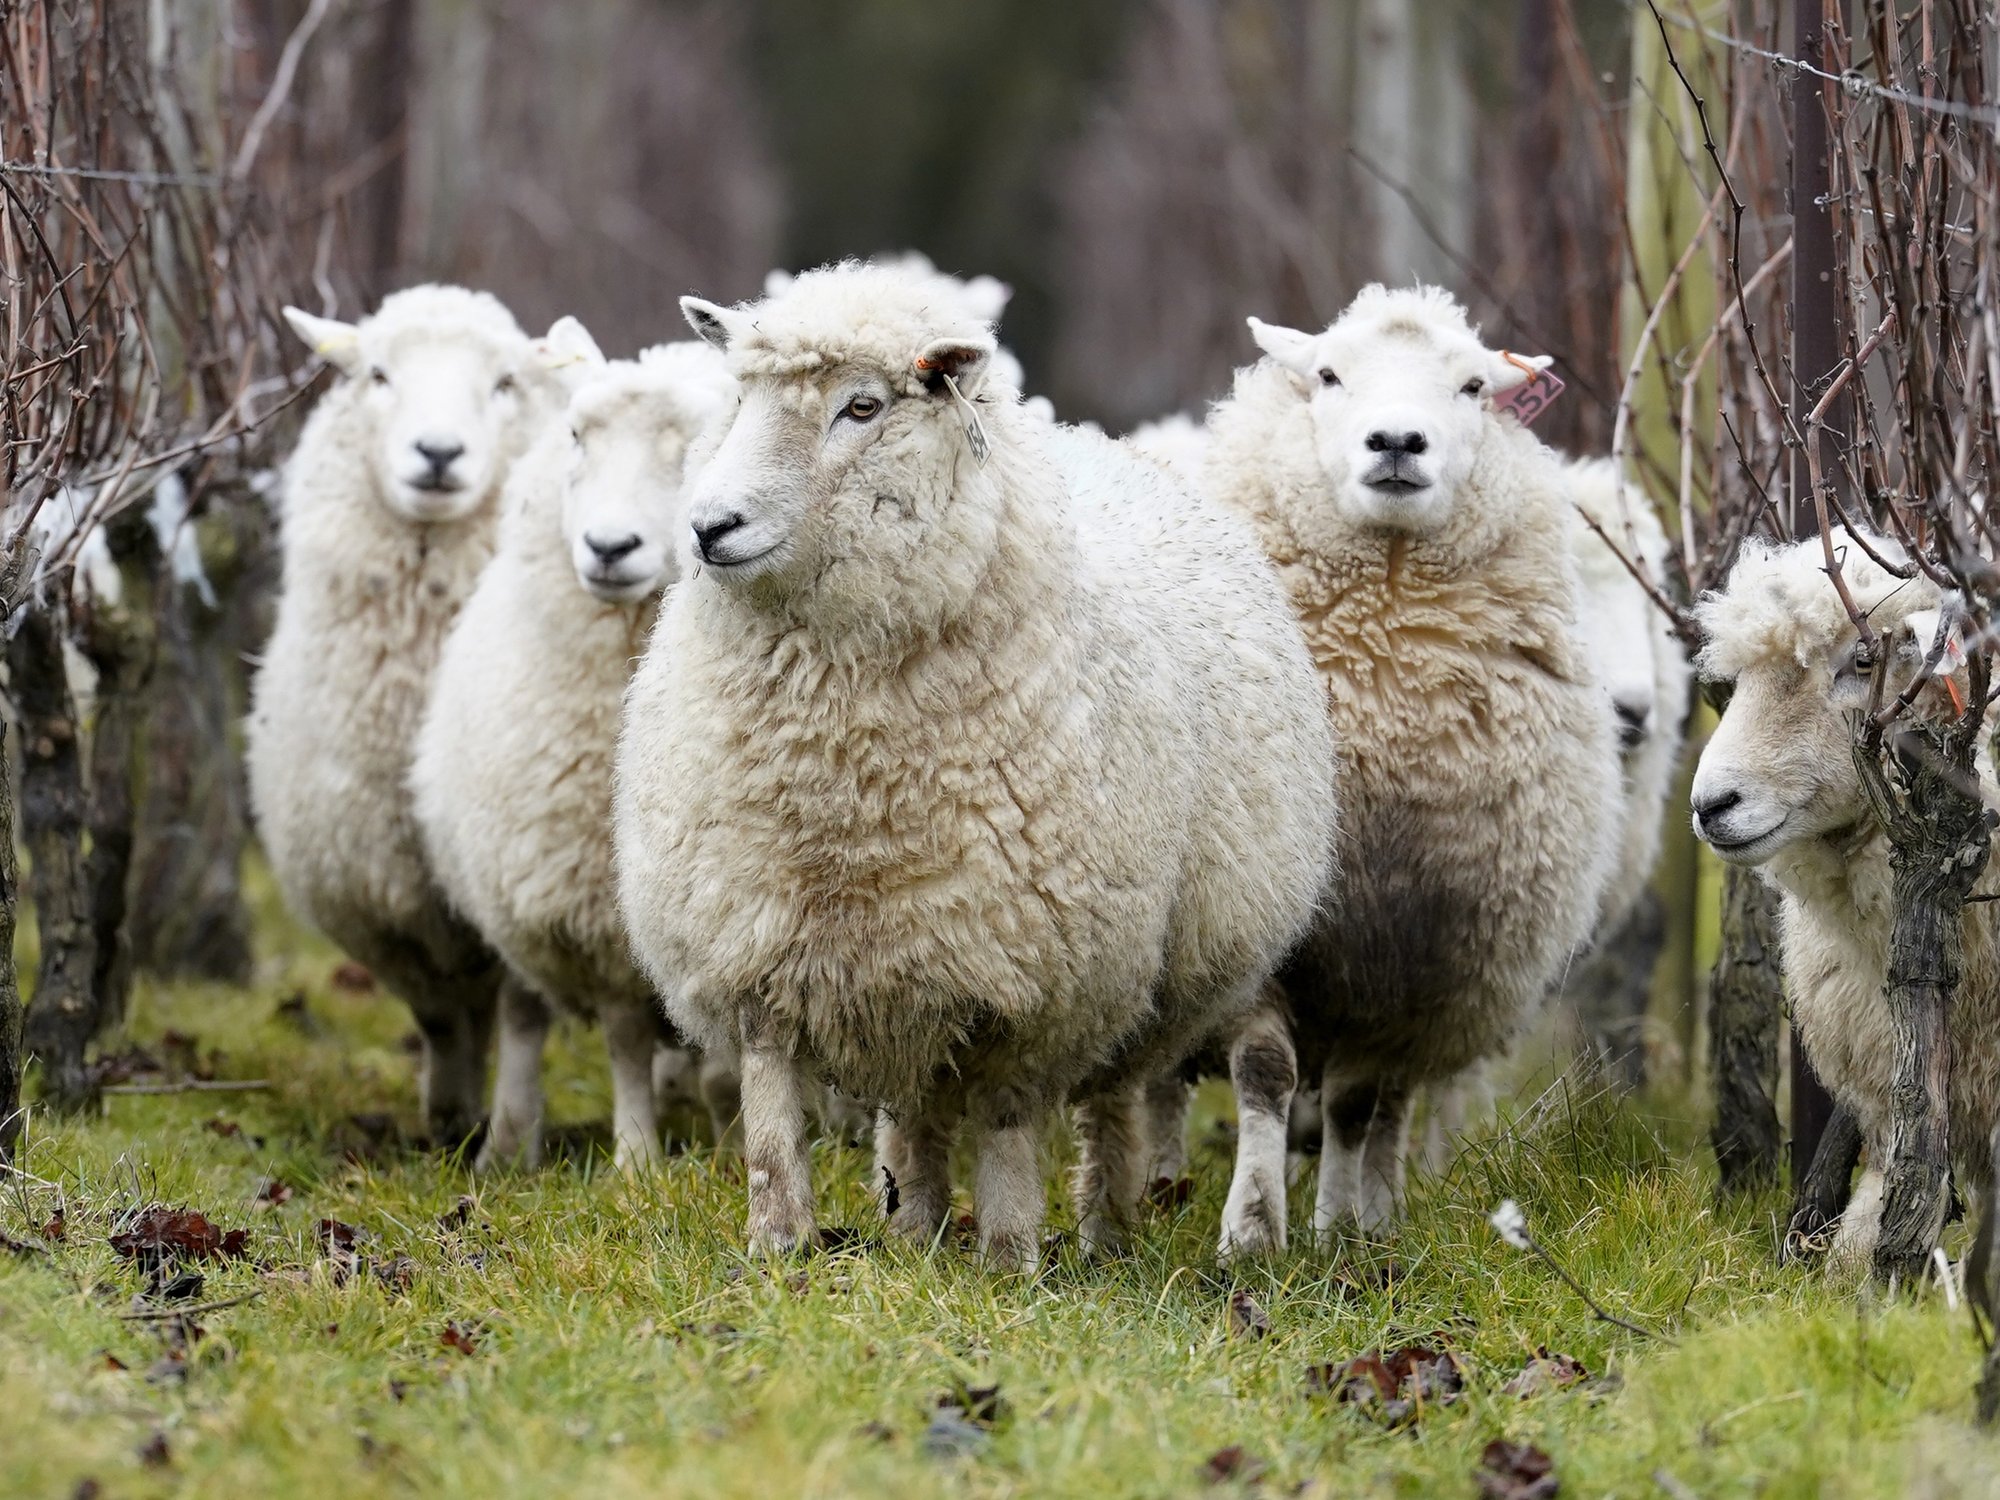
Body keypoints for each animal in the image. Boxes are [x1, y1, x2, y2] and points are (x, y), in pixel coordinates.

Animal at [247, 285, 580, 1142]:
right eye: (378, 375)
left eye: (504, 383)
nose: (437, 453)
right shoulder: (382, 892)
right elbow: (436, 1017)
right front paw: (448, 1119)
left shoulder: (515, 870)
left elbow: (524, 1010)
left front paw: (512, 1137)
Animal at [411, 335, 739, 1171]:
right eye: (576, 437)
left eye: (692, 444)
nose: (609, 547)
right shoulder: (592, 906)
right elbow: (624, 1036)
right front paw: (637, 1161)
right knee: (524, 1012)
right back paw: (508, 1143)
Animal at [613, 261, 1339, 1267]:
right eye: (741, 398)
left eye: (864, 406)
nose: (710, 527)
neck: (845, 777)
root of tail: (1100, 446)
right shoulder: (756, 936)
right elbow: (769, 1113)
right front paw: (778, 1247)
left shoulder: (1029, 969)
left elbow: (1002, 1115)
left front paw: (1007, 1255)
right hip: (907, 957)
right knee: (915, 1106)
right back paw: (913, 1225)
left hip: (1131, 969)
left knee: (1110, 1100)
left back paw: (1104, 1230)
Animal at [1197, 284, 1621, 1243]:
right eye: (1326, 374)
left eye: (1473, 386)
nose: (1396, 441)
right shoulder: (1266, 933)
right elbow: (1266, 1074)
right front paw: (1252, 1230)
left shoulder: (1406, 964)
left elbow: (1359, 1105)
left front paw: (1335, 1233)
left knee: (1387, 1110)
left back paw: (1376, 1215)